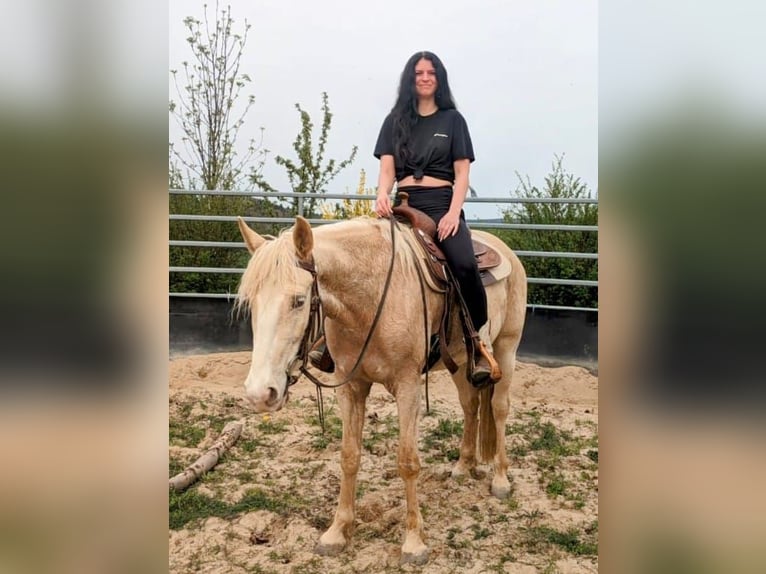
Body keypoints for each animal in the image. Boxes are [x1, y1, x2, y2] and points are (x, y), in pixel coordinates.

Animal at [237, 215, 528, 568]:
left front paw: (414, 543)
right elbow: (349, 456)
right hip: (460, 364)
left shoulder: (408, 387)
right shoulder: (350, 386)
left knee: (498, 409)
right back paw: (463, 465)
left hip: (506, 349)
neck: (370, 299)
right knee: (470, 405)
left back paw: (500, 479)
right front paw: (337, 532)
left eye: (299, 300)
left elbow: (408, 462)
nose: (259, 394)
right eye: (251, 301)